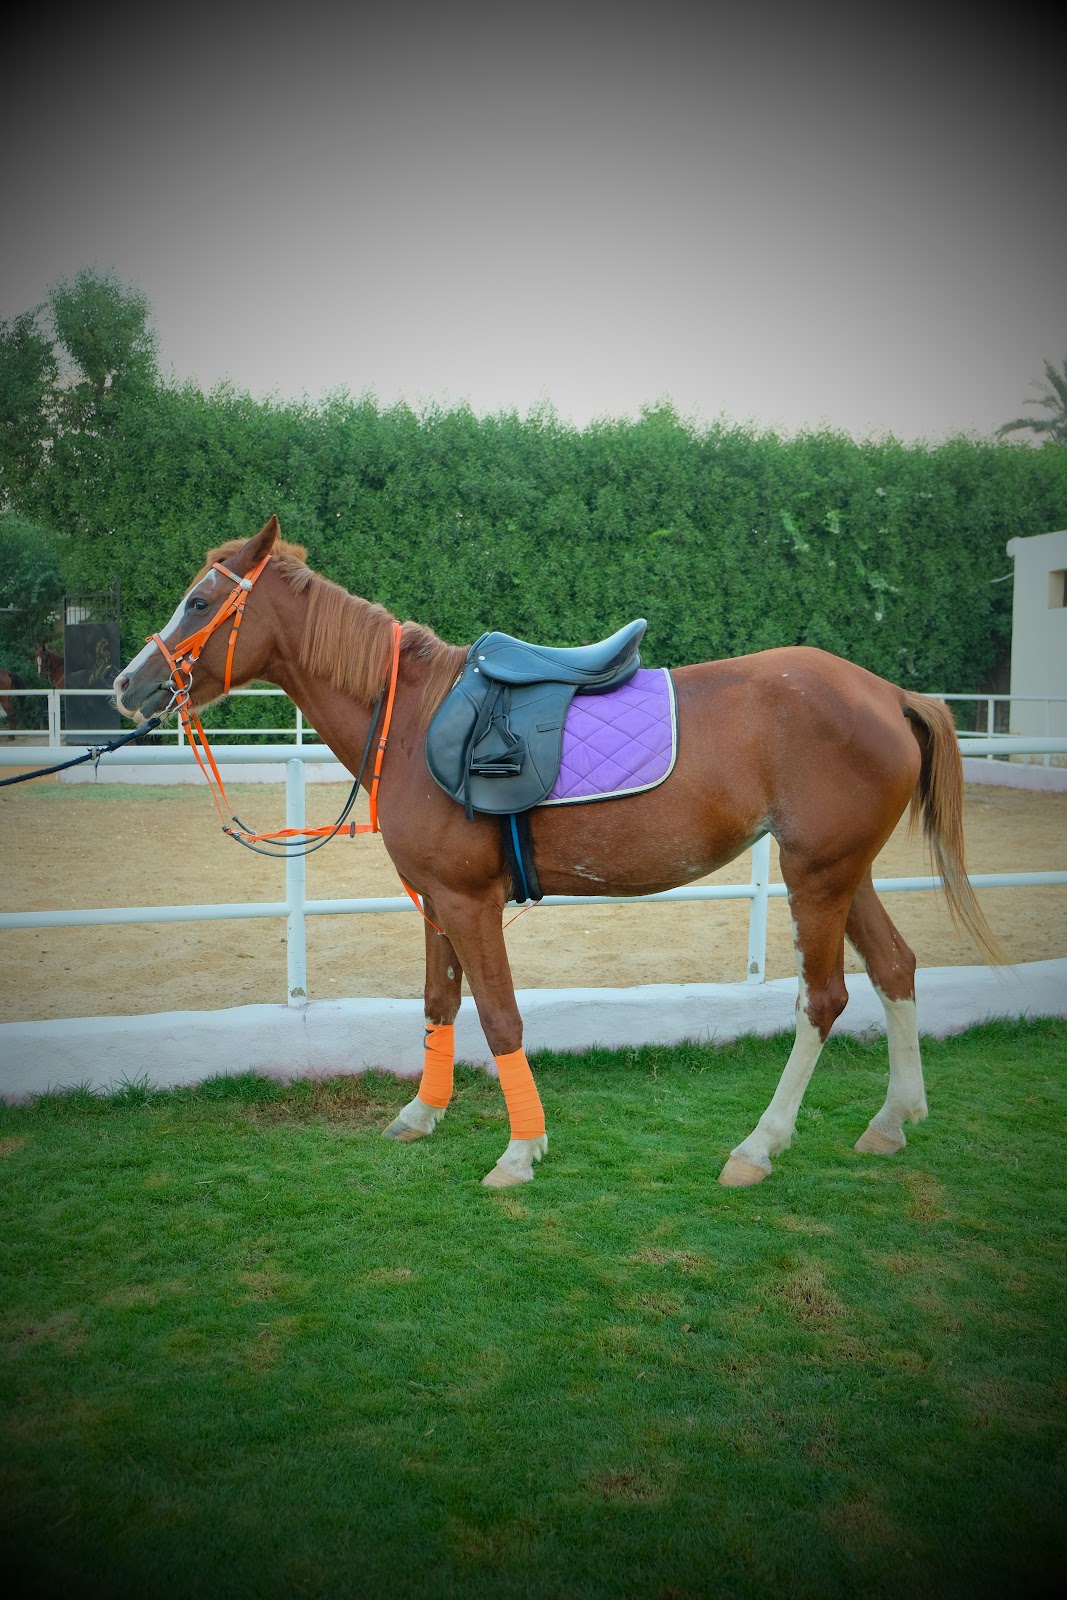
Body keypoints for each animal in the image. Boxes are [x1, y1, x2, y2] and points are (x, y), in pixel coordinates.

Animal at [113, 516, 999, 1190]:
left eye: (199, 600)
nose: (129, 685)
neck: (412, 717)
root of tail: (888, 693)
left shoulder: (468, 902)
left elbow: (500, 1016)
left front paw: (519, 1151)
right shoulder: (434, 901)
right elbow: (438, 1004)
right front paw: (422, 1113)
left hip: (813, 876)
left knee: (822, 1000)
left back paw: (758, 1146)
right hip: (844, 873)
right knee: (895, 968)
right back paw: (891, 1120)